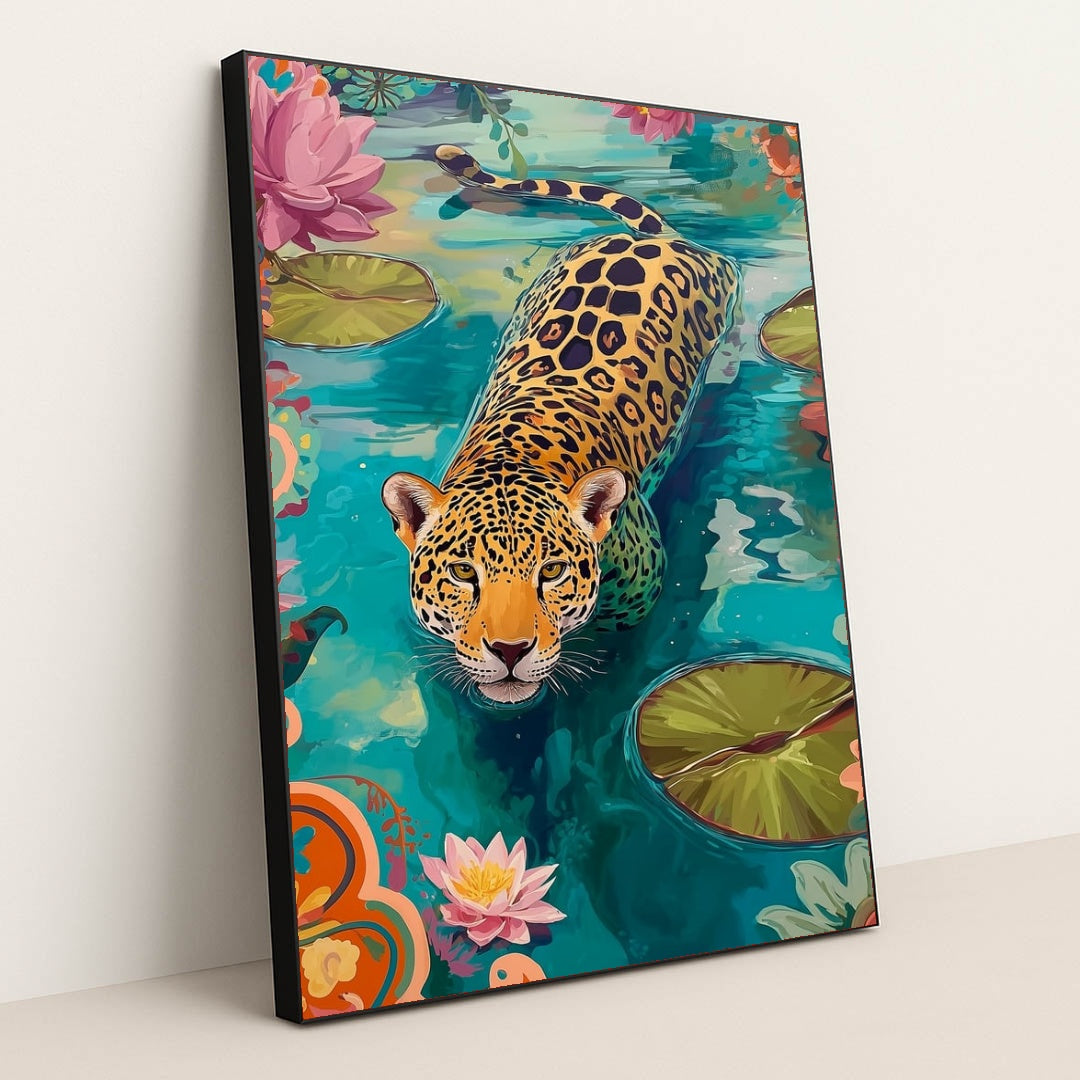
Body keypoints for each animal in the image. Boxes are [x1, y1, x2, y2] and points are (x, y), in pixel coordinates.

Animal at [382, 143, 741, 705]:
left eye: (551, 572)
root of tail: (654, 239)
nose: (509, 651)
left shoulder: (638, 602)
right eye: (463, 573)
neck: (515, 455)